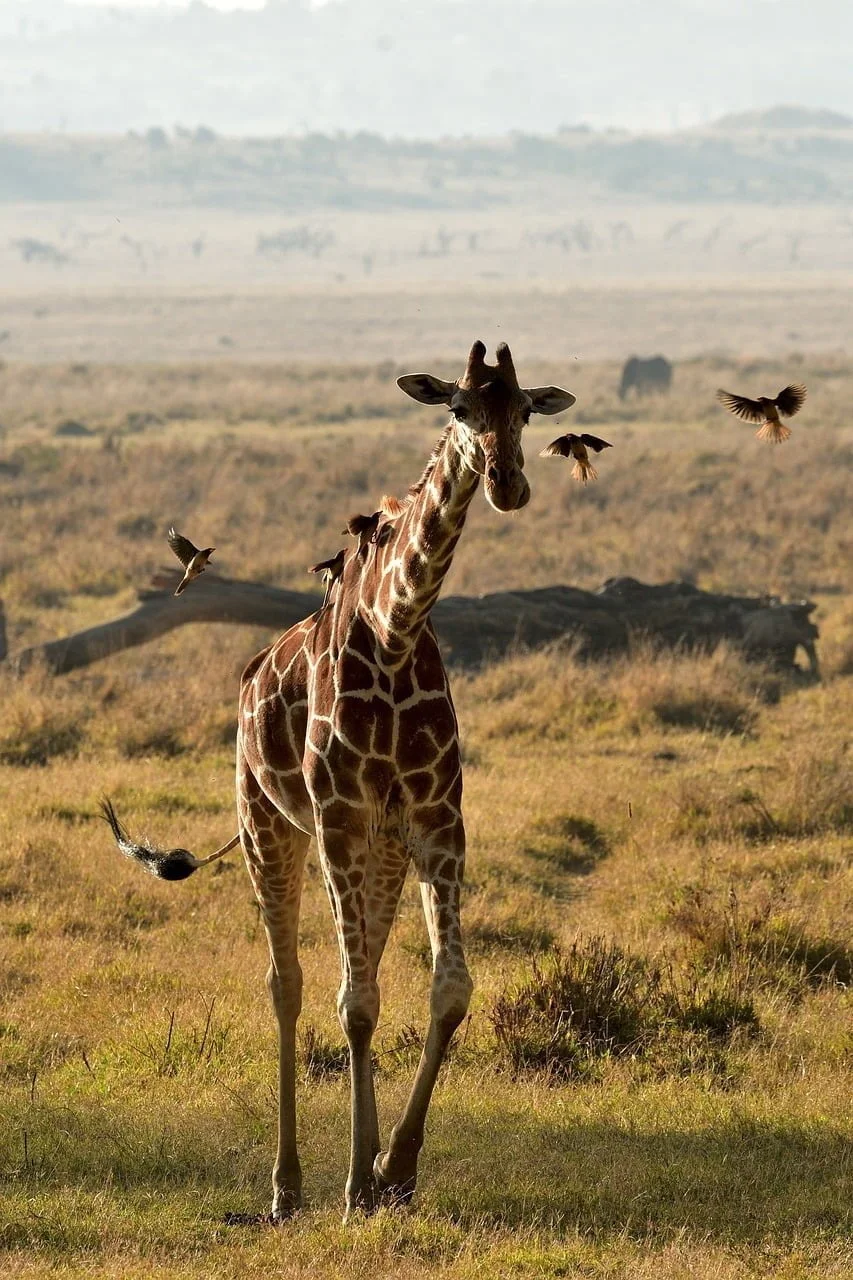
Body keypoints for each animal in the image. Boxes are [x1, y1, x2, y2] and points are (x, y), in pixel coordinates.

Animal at [103, 340, 573, 1218]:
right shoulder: (340, 816)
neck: (396, 631)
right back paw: (286, 1187)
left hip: (377, 850)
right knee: (285, 984)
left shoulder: (435, 820)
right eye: (458, 407)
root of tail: (250, 674)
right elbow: (351, 1003)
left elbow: (445, 989)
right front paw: (357, 1178)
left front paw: (397, 1167)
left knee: (366, 968)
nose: (506, 483)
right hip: (269, 825)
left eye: (527, 409)